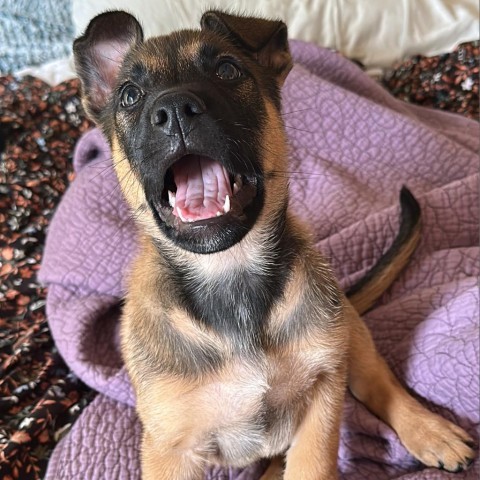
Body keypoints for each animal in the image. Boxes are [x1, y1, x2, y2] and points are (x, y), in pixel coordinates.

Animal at [73, 9, 474, 478]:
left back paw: (430, 431)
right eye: (130, 96)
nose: (173, 111)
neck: (231, 276)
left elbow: (314, 462)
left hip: (344, 332)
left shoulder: (322, 391)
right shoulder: (169, 448)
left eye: (228, 70)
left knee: (375, 377)